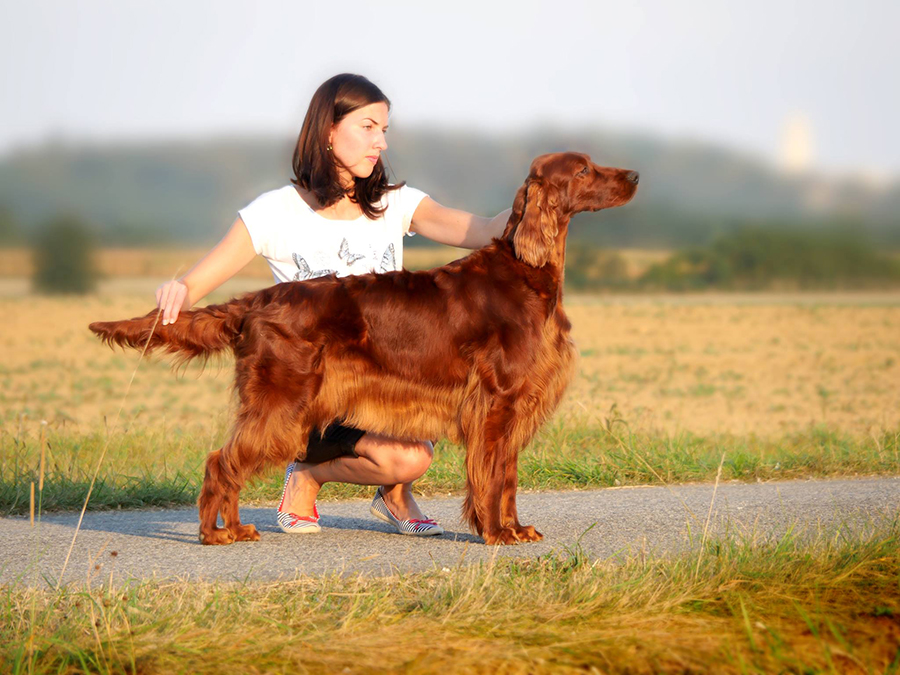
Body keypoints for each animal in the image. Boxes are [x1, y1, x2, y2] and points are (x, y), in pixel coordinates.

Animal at [89, 152, 640, 544]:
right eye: (585, 168)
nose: (635, 174)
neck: (526, 270)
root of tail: (256, 300)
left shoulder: (510, 406)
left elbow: (507, 477)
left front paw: (514, 528)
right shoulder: (497, 403)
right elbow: (493, 476)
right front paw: (496, 533)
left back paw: (236, 528)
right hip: (280, 402)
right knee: (220, 460)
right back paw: (215, 533)